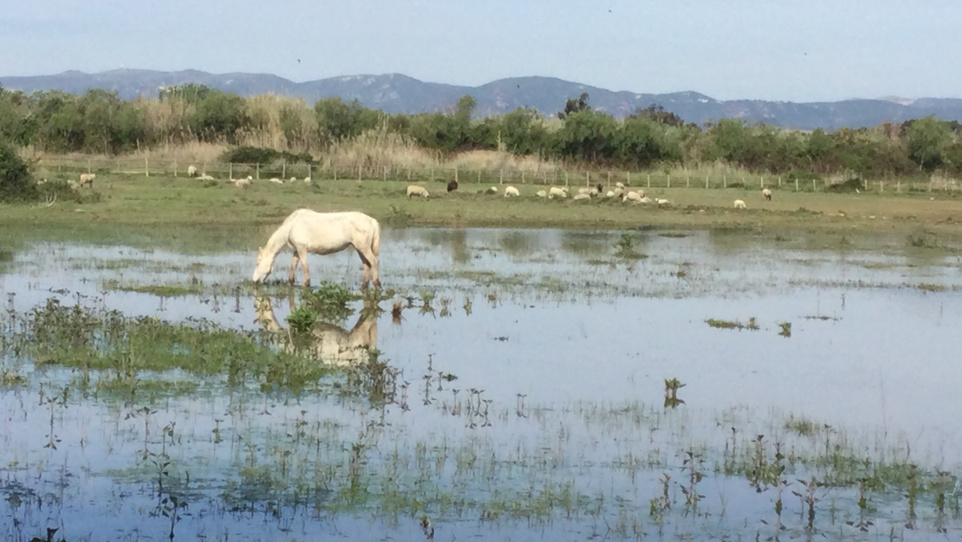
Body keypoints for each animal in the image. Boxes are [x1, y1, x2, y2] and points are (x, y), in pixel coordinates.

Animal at [249, 210, 380, 292]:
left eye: (257, 263)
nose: (254, 281)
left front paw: (306, 285)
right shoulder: (297, 250)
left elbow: (305, 268)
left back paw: (377, 284)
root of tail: (371, 220)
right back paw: (363, 287)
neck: (291, 227)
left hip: (363, 247)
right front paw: (290, 283)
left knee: (374, 262)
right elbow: (293, 266)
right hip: (359, 248)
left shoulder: (302, 249)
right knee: (367, 265)